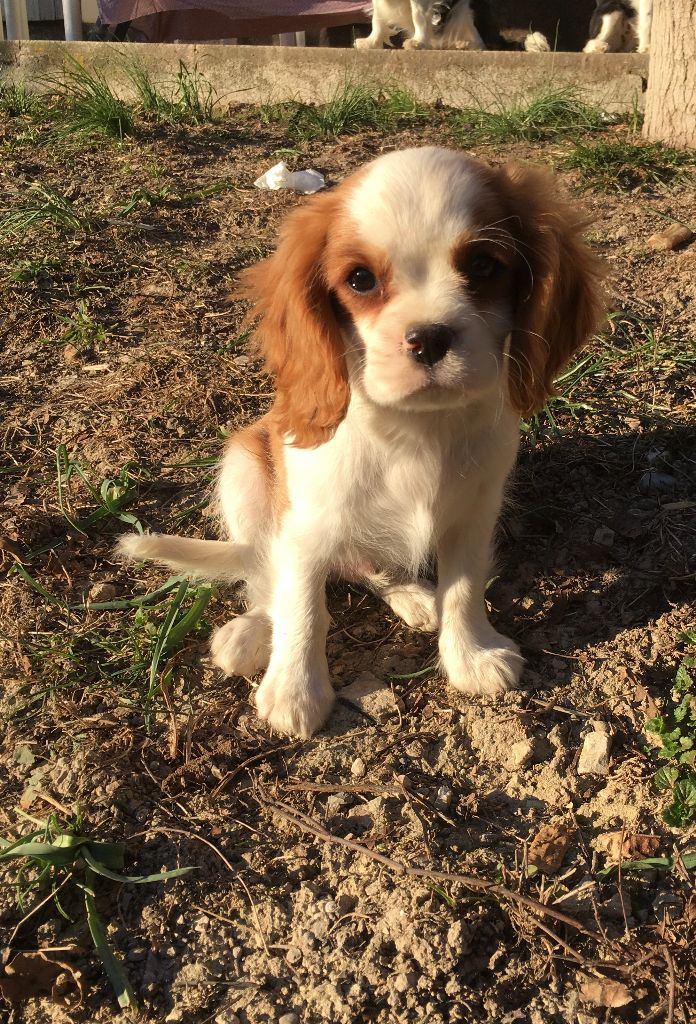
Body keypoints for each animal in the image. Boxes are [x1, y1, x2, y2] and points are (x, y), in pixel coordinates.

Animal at [354, 0, 483, 50]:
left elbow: (418, 16)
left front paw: (417, 42)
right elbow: (377, 18)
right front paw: (371, 42)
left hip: (463, 10)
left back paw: (467, 44)